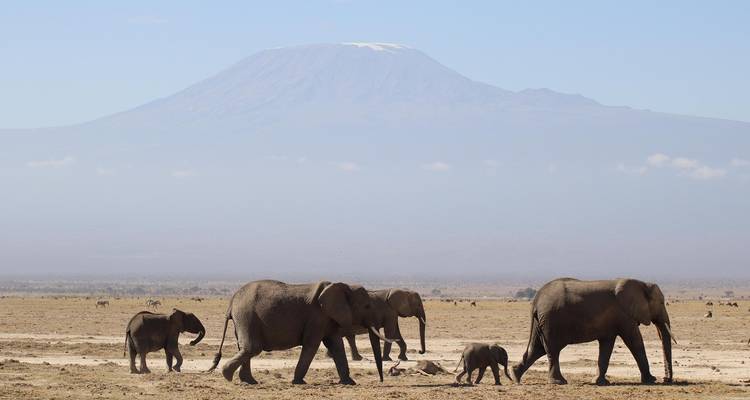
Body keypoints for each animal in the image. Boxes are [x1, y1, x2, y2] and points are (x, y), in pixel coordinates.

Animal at [208, 280, 396, 385]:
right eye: (367, 306)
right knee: (252, 348)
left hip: (244, 319)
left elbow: (336, 345)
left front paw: (350, 383)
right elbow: (311, 345)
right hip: (247, 316)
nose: (381, 381)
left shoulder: (328, 318)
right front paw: (298, 382)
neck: (344, 286)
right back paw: (228, 376)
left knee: (245, 348)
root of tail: (231, 301)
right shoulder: (317, 317)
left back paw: (249, 382)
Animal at [511, 278, 675, 385]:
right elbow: (635, 341)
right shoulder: (624, 315)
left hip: (542, 322)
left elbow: (607, 346)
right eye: (662, 303)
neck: (642, 284)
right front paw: (651, 380)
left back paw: (515, 376)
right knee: (552, 350)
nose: (666, 379)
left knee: (537, 349)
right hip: (551, 322)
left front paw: (600, 382)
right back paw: (559, 382)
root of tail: (536, 301)